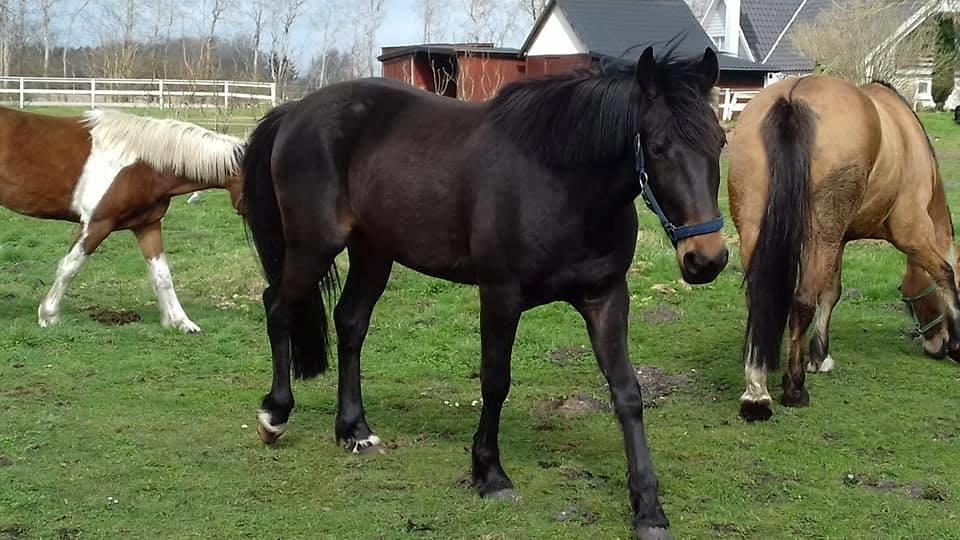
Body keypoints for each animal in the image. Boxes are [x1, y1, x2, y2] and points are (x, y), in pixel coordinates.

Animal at [0, 106, 245, 333]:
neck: (145, 165)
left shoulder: (147, 225)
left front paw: (181, 322)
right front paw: (48, 315)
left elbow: (162, 275)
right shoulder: (97, 224)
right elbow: (70, 266)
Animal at [242, 46, 727, 539]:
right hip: (313, 245)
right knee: (278, 308)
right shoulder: (500, 295)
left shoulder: (606, 297)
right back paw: (274, 416)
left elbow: (627, 391)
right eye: (659, 147)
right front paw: (489, 474)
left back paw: (354, 430)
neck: (561, 182)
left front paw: (648, 507)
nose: (706, 259)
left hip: (373, 251)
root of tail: (295, 112)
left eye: (721, 142)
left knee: (350, 322)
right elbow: (495, 381)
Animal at [727, 75, 959, 422]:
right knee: (801, 303)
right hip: (821, 233)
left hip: (760, 226)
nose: (937, 345)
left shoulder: (840, 240)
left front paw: (819, 355)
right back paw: (793, 388)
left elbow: (831, 293)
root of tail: (792, 98)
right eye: (907, 297)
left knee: (759, 299)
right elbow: (945, 274)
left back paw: (757, 387)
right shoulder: (911, 234)